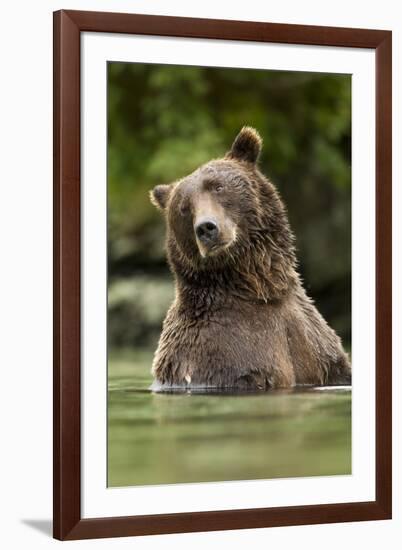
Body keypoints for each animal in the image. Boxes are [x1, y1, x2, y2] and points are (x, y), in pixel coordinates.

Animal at [149, 126, 350, 390]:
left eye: (218, 187)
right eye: (183, 207)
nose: (206, 228)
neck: (260, 289)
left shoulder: (314, 340)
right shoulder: (220, 351)